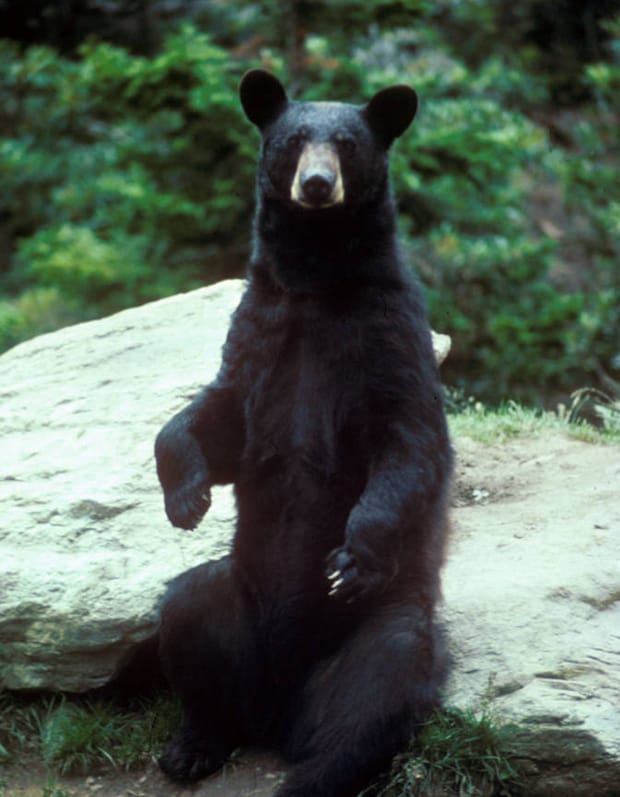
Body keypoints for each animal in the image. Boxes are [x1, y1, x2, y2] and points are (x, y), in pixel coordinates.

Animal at [154, 69, 453, 797]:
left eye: (346, 143)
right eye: (292, 141)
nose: (316, 185)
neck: (317, 284)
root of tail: (279, 713)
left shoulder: (390, 334)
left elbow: (409, 442)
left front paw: (352, 554)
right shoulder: (261, 327)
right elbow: (219, 414)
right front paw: (186, 496)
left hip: (376, 627)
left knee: (378, 686)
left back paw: (313, 773)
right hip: (236, 604)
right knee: (187, 611)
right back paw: (193, 744)